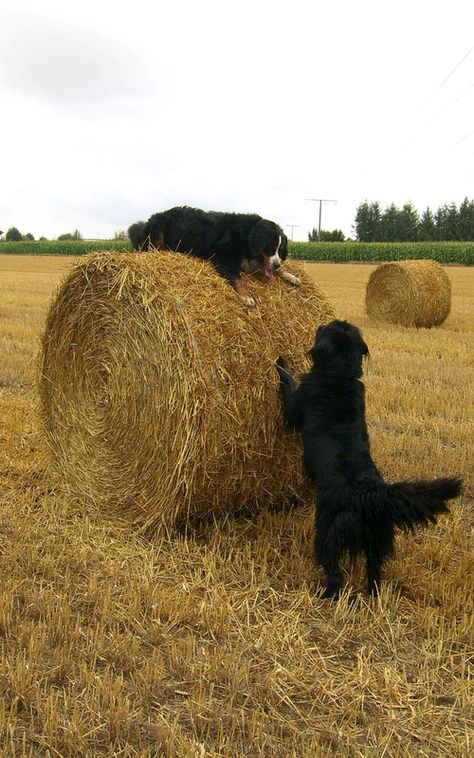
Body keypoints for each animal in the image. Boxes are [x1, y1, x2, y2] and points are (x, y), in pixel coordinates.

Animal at [128, 206, 302, 308]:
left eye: (280, 249)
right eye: (271, 247)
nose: (277, 264)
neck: (246, 236)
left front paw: (291, 276)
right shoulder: (223, 259)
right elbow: (238, 279)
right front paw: (246, 297)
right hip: (157, 228)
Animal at [274, 320, 462, 600]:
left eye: (326, 328)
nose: (320, 323)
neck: (340, 376)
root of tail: (371, 493)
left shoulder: (295, 408)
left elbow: (289, 383)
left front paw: (281, 363)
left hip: (328, 531)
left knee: (334, 570)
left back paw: (325, 593)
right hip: (377, 541)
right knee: (374, 572)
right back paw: (373, 595)